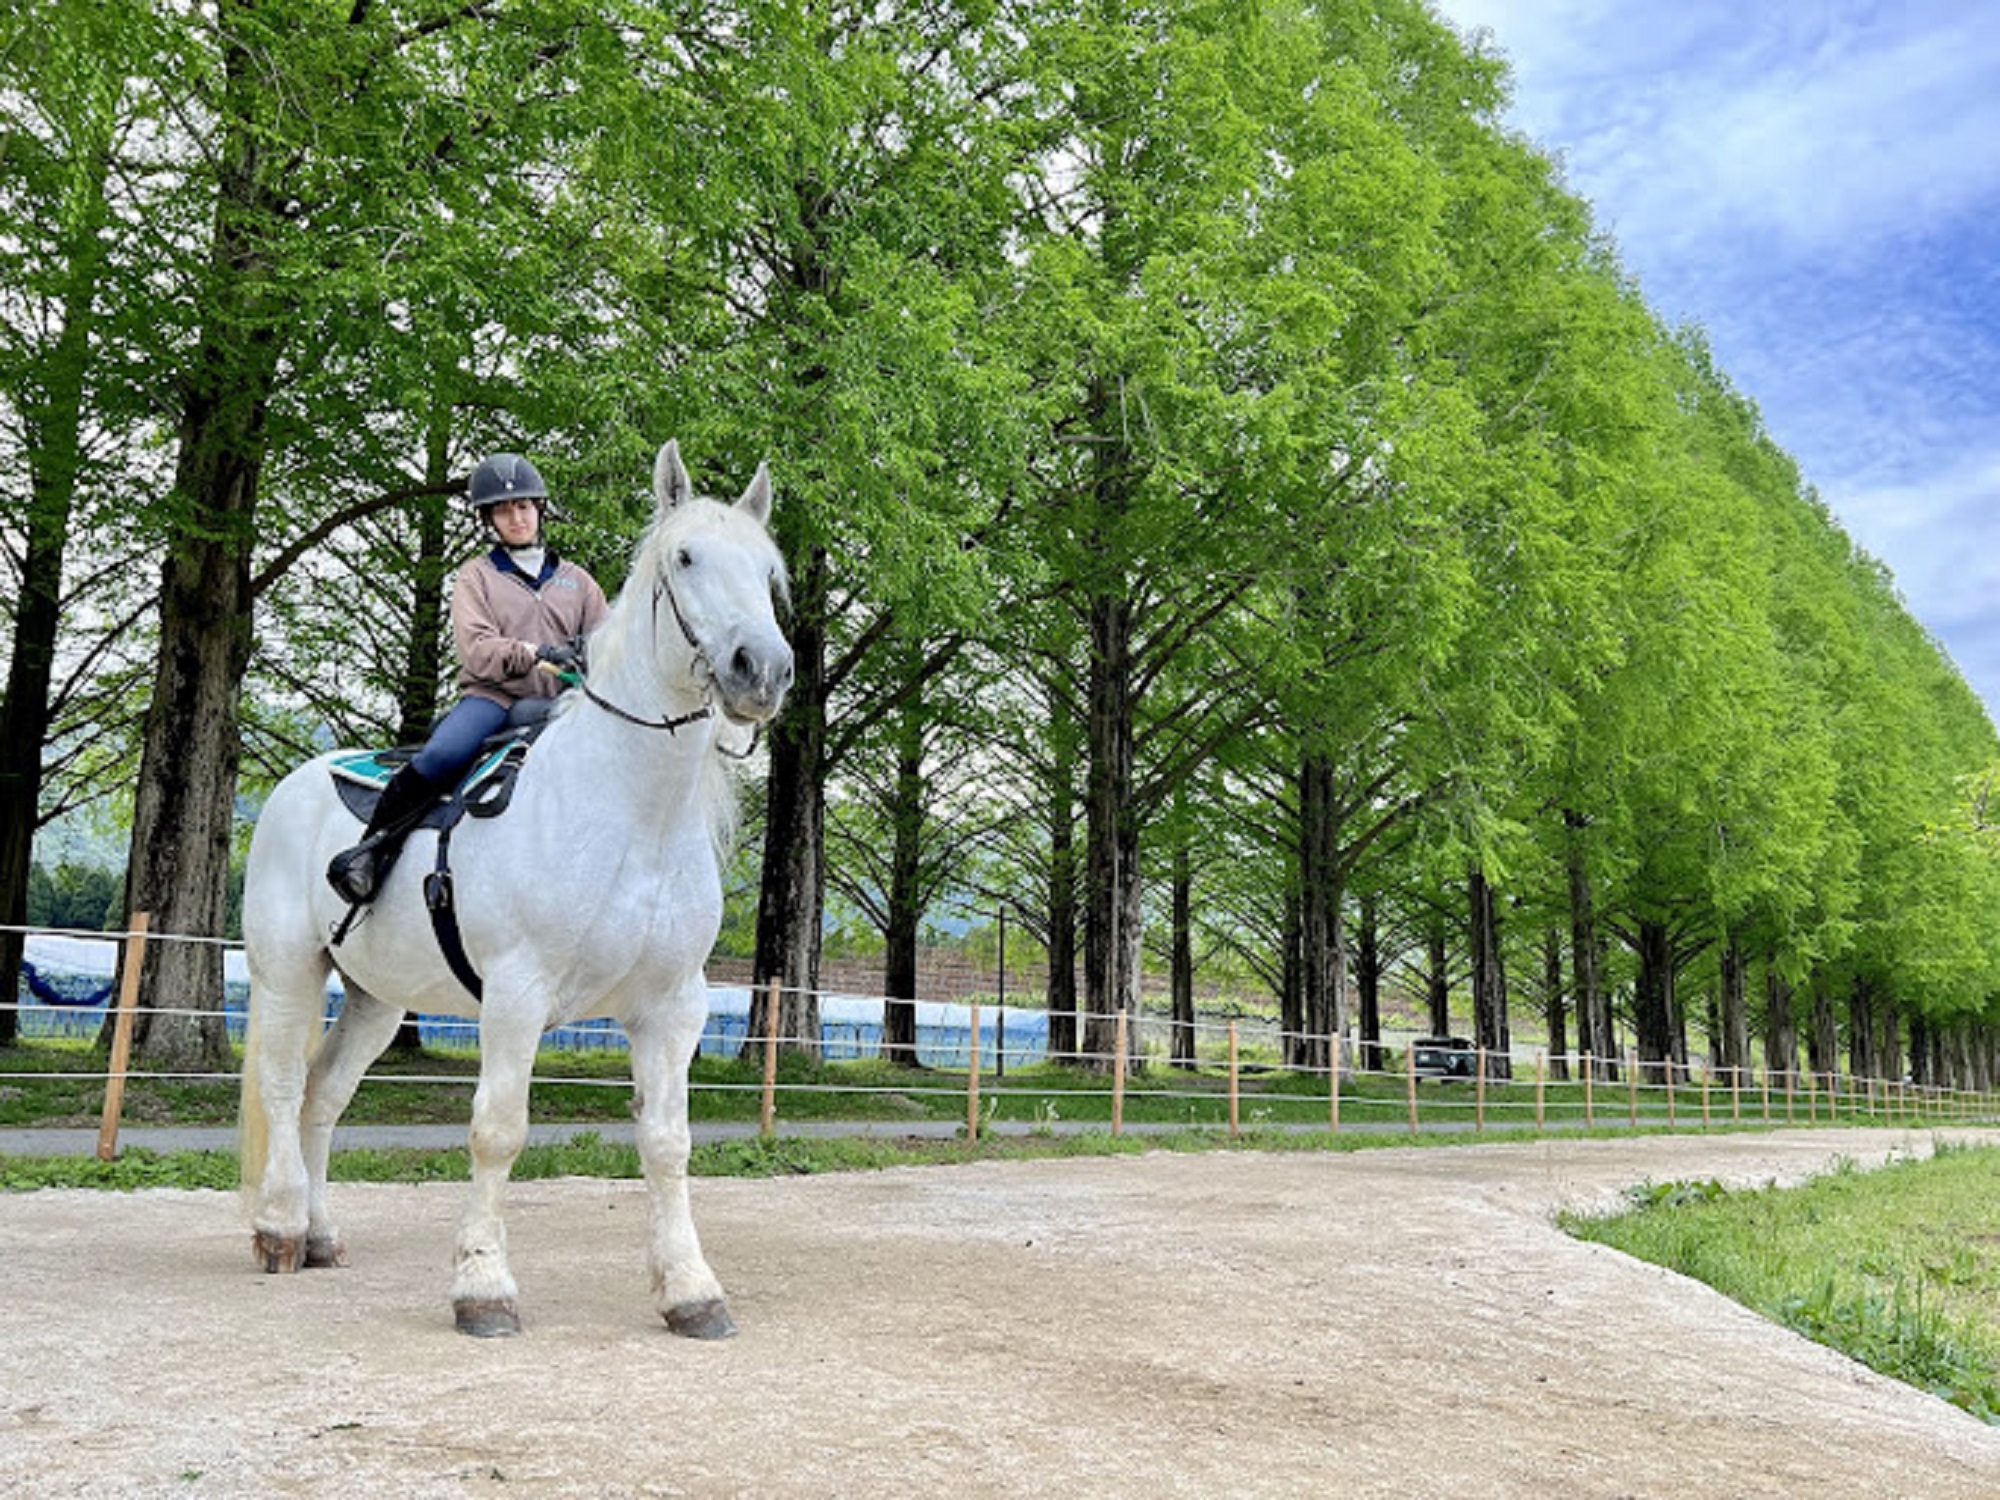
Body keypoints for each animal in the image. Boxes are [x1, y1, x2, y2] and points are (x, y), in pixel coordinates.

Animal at [238, 440, 793, 1339]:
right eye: (685, 557)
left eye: (767, 571)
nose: (763, 670)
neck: (628, 812)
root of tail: (296, 785)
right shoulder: (516, 995)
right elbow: (497, 1132)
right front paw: (482, 1288)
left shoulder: (672, 1007)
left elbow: (667, 1142)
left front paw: (691, 1291)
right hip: (288, 971)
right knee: (284, 1087)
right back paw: (281, 1228)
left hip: (375, 998)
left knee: (323, 1096)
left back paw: (319, 1235)